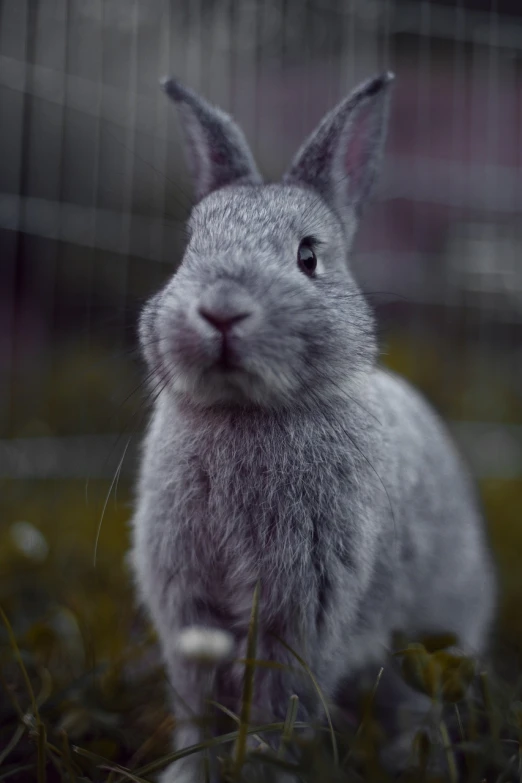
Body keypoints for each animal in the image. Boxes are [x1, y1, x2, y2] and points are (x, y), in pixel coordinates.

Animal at [130, 73, 496, 783]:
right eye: (190, 250)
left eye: (307, 258)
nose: (221, 310)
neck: (244, 411)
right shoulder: (187, 605)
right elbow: (196, 701)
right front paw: (189, 772)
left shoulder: (303, 607)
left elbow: (277, 703)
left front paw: (261, 767)